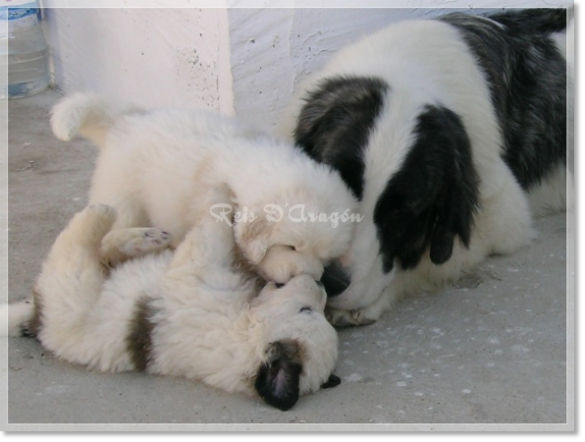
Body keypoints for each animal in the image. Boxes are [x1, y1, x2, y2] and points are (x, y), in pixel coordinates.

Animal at [4, 186, 340, 410]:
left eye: (308, 310)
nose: (319, 283)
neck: (243, 328)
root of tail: (36, 320)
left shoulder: (196, 269)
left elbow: (209, 231)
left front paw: (219, 192)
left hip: (70, 291)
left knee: (76, 247)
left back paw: (100, 215)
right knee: (106, 252)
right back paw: (139, 238)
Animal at [49, 94, 356, 286]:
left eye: (324, 257)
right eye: (291, 247)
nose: (312, 279)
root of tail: (127, 118)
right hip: (122, 196)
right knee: (105, 242)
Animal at [278, 6, 572, 324]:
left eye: (400, 212)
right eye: (337, 182)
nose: (329, 278)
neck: (404, 67)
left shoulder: (502, 214)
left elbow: (426, 259)